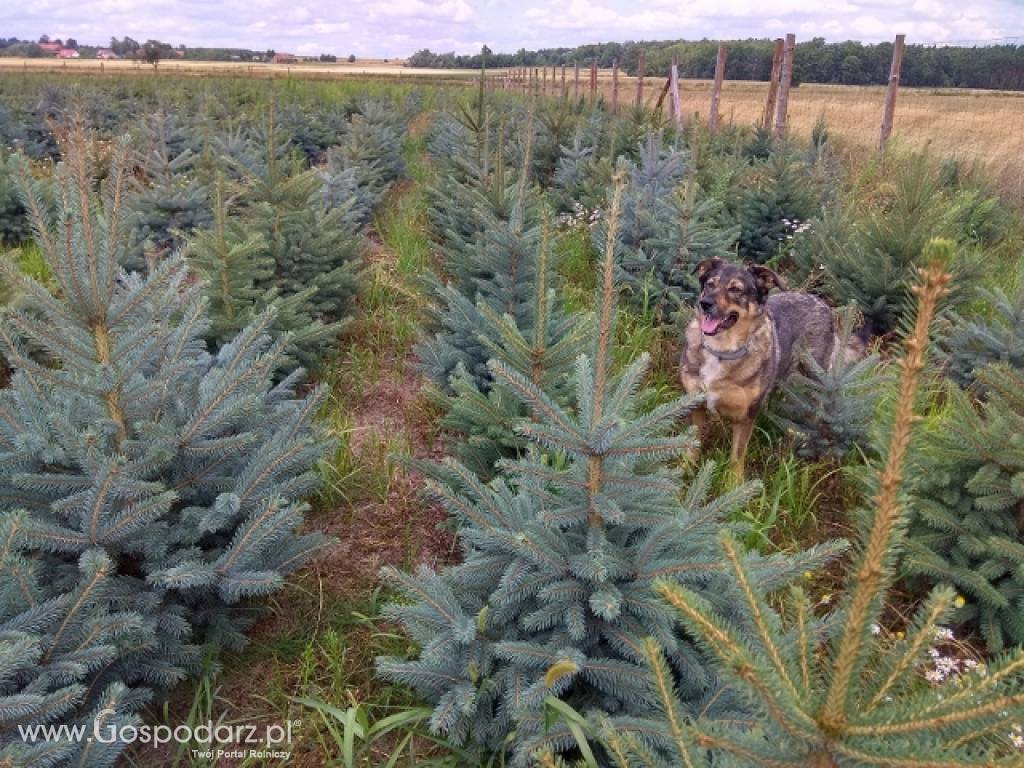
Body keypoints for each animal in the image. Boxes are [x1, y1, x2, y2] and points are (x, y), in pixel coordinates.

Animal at [675, 257, 835, 475]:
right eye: (710, 284)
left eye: (736, 289)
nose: (705, 303)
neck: (721, 350)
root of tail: (821, 301)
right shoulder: (695, 404)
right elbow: (692, 443)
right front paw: (684, 470)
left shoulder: (746, 415)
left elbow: (737, 457)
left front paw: (734, 482)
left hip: (812, 378)